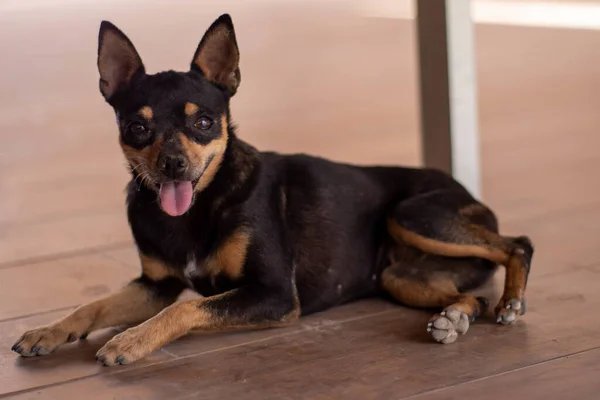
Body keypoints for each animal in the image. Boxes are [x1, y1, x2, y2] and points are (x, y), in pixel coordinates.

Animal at [10, 14, 536, 366]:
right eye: (137, 129)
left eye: (204, 122)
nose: (173, 164)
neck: (199, 206)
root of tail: (466, 191)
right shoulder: (154, 286)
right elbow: (94, 305)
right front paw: (48, 331)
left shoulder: (275, 294)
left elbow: (189, 308)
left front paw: (130, 340)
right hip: (399, 275)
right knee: (471, 297)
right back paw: (455, 318)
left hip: (411, 216)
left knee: (518, 243)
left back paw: (510, 301)